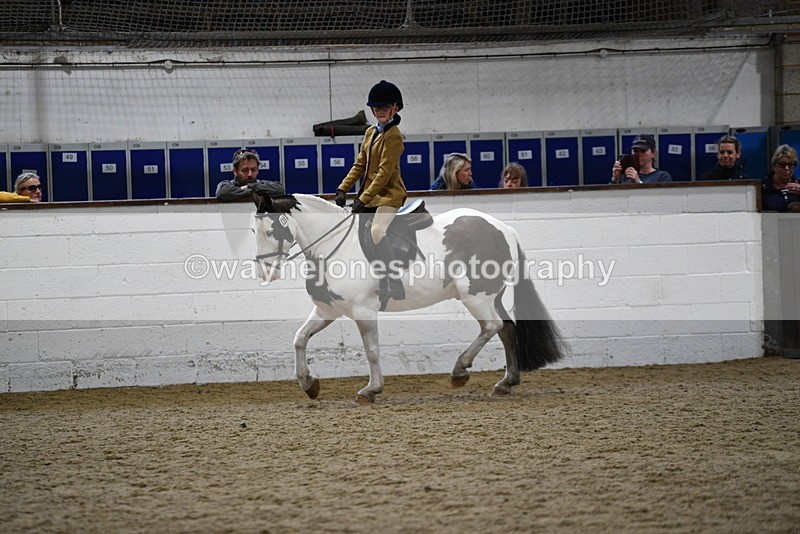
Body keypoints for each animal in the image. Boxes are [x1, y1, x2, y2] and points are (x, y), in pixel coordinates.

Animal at [251, 193, 564, 404]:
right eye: (254, 231)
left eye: (271, 229)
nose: (264, 272)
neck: (333, 245)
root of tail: (504, 228)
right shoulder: (328, 310)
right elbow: (300, 339)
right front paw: (309, 384)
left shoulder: (364, 311)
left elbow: (372, 350)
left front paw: (371, 389)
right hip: (490, 295)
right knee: (508, 329)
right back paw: (506, 383)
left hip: (475, 296)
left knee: (492, 327)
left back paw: (460, 371)